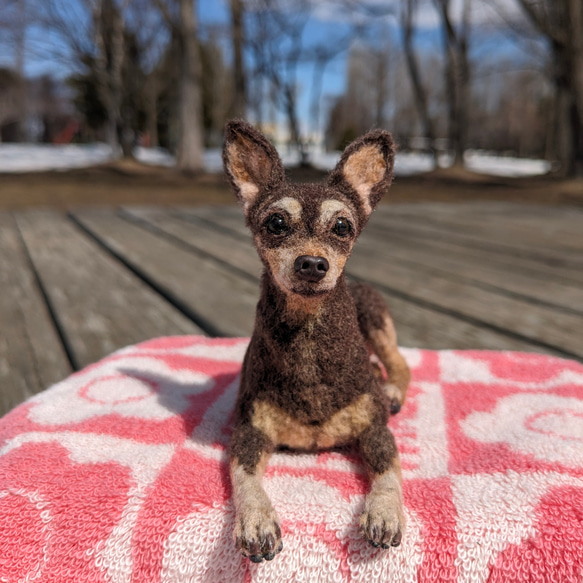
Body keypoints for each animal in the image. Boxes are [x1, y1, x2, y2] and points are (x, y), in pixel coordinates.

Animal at [222, 120, 410, 564]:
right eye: (275, 223)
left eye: (342, 226)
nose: (311, 263)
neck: (308, 341)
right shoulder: (249, 432)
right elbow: (243, 477)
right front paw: (256, 520)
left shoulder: (376, 429)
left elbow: (389, 471)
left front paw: (385, 512)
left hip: (374, 317)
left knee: (400, 363)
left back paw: (393, 389)